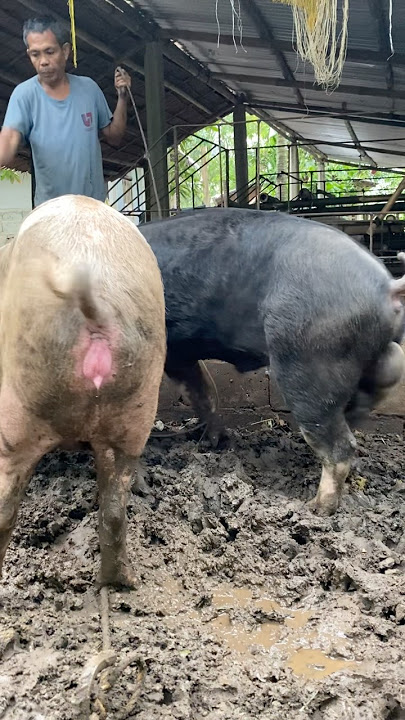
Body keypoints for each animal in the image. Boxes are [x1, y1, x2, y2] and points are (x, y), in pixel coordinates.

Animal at [0, 195, 166, 587]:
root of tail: (100, 306)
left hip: (18, 408)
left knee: (3, 511)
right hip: (135, 408)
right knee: (115, 510)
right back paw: (120, 582)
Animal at [141, 208, 405, 515]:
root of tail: (388, 286)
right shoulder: (179, 353)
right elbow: (202, 391)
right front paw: (213, 443)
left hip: (307, 358)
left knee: (338, 445)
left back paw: (315, 508)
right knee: (382, 380)